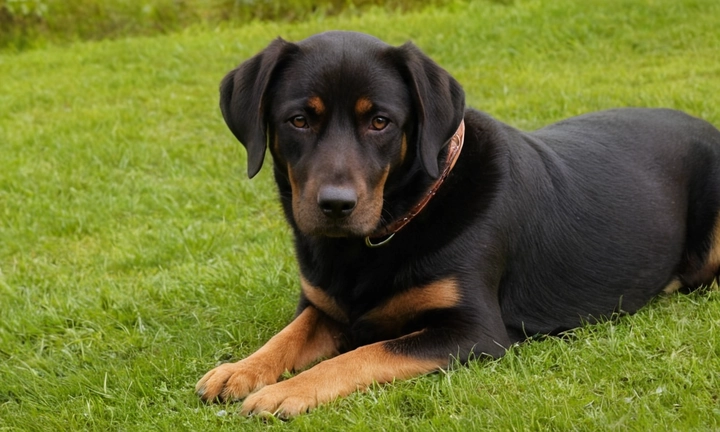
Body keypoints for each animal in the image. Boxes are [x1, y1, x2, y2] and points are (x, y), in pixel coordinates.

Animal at [194, 31, 720, 418]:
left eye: (380, 122)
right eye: (298, 120)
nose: (336, 205)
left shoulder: (475, 331)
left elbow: (367, 353)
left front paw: (289, 390)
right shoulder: (323, 305)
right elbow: (288, 335)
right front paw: (240, 369)